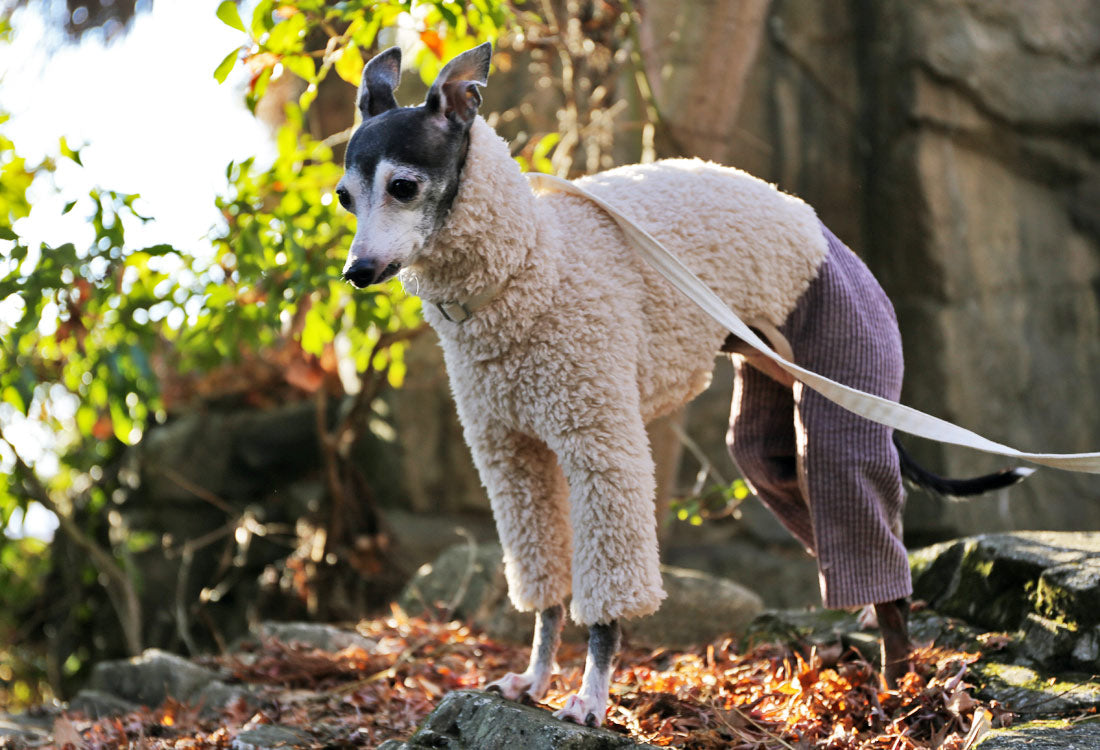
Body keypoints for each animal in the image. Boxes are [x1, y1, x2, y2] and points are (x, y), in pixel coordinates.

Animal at [336, 40, 1029, 725]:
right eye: (344, 197)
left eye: (403, 186)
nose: (356, 272)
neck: (527, 268)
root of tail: (824, 233)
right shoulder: (511, 458)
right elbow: (544, 591)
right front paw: (533, 679)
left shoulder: (602, 448)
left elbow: (609, 599)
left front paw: (590, 698)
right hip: (771, 443)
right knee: (859, 548)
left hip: (842, 389)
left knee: (874, 541)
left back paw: (897, 686)